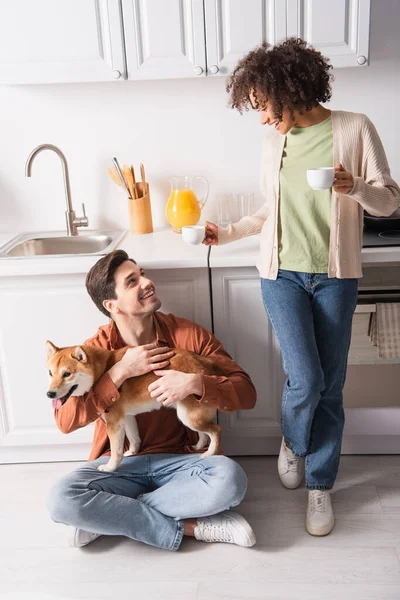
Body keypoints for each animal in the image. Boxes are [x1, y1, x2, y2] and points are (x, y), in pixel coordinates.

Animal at [45, 342, 227, 474]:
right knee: (204, 433)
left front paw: (110, 467)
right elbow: (134, 438)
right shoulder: (127, 417)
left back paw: (210, 453)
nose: (49, 394)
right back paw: (198, 447)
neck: (103, 370)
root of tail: (204, 362)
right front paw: (132, 452)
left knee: (216, 430)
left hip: (188, 416)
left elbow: (115, 450)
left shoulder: (114, 422)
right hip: (189, 416)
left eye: (67, 374)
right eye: (50, 373)